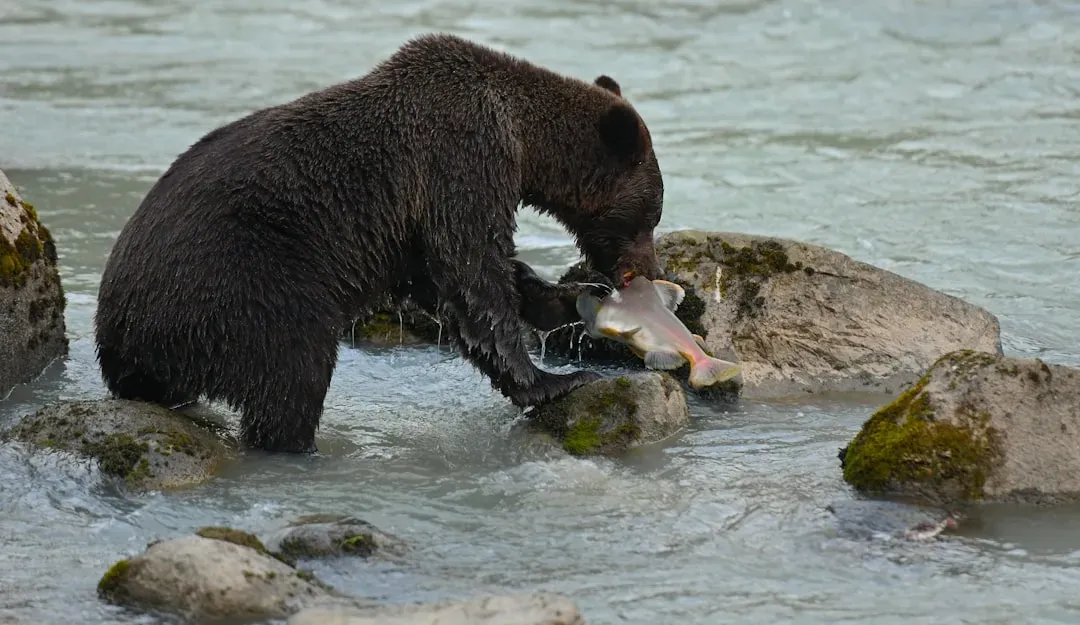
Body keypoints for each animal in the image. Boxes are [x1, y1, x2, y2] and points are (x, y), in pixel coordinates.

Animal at [94, 33, 665, 453]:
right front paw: (554, 378)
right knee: (292, 370)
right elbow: (473, 272)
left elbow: (453, 280)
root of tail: (116, 332)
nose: (649, 270)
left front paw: (570, 298)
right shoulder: (459, 159)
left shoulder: (410, 230)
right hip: (242, 287)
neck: (522, 141)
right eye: (650, 216)